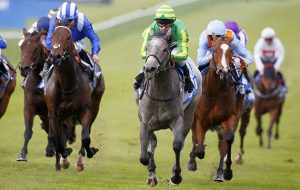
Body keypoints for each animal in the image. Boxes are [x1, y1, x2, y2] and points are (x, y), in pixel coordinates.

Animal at [17, 29, 55, 161]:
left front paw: (49, 149)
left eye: (36, 48)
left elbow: (52, 130)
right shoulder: (29, 107)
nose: (24, 68)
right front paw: (22, 153)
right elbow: (28, 131)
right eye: (22, 46)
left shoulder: (51, 109)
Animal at [45, 25, 105, 171]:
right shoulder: (54, 114)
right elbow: (58, 141)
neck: (67, 84)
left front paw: (86, 155)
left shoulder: (85, 110)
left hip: (95, 107)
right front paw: (64, 158)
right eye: (53, 35)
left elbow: (85, 138)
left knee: (86, 131)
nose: (55, 56)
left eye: (68, 37)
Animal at [138, 30, 203, 187]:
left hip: (190, 114)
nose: (149, 69)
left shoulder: (177, 120)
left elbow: (177, 146)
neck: (159, 94)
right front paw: (151, 171)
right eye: (147, 47)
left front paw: (176, 176)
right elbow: (144, 155)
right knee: (153, 142)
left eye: (164, 49)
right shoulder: (145, 122)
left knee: (182, 140)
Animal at [189, 35, 245, 182]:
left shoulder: (229, 118)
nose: (223, 71)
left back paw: (219, 174)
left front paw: (227, 171)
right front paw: (195, 156)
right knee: (194, 138)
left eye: (231, 51)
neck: (215, 92)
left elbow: (228, 141)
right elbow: (198, 143)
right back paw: (192, 161)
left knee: (222, 144)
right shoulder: (199, 119)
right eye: (214, 50)